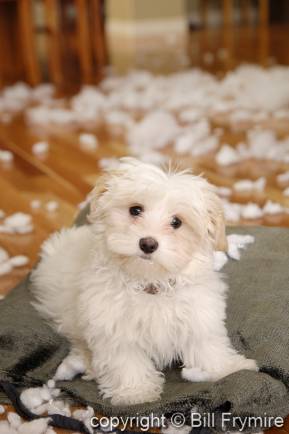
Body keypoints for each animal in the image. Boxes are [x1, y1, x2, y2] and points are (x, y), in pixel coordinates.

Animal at [31, 158, 256, 406]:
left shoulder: (198, 317)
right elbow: (127, 362)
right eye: (135, 210)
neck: (150, 283)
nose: (148, 243)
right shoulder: (114, 329)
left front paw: (228, 369)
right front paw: (135, 393)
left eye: (176, 222)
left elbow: (207, 347)